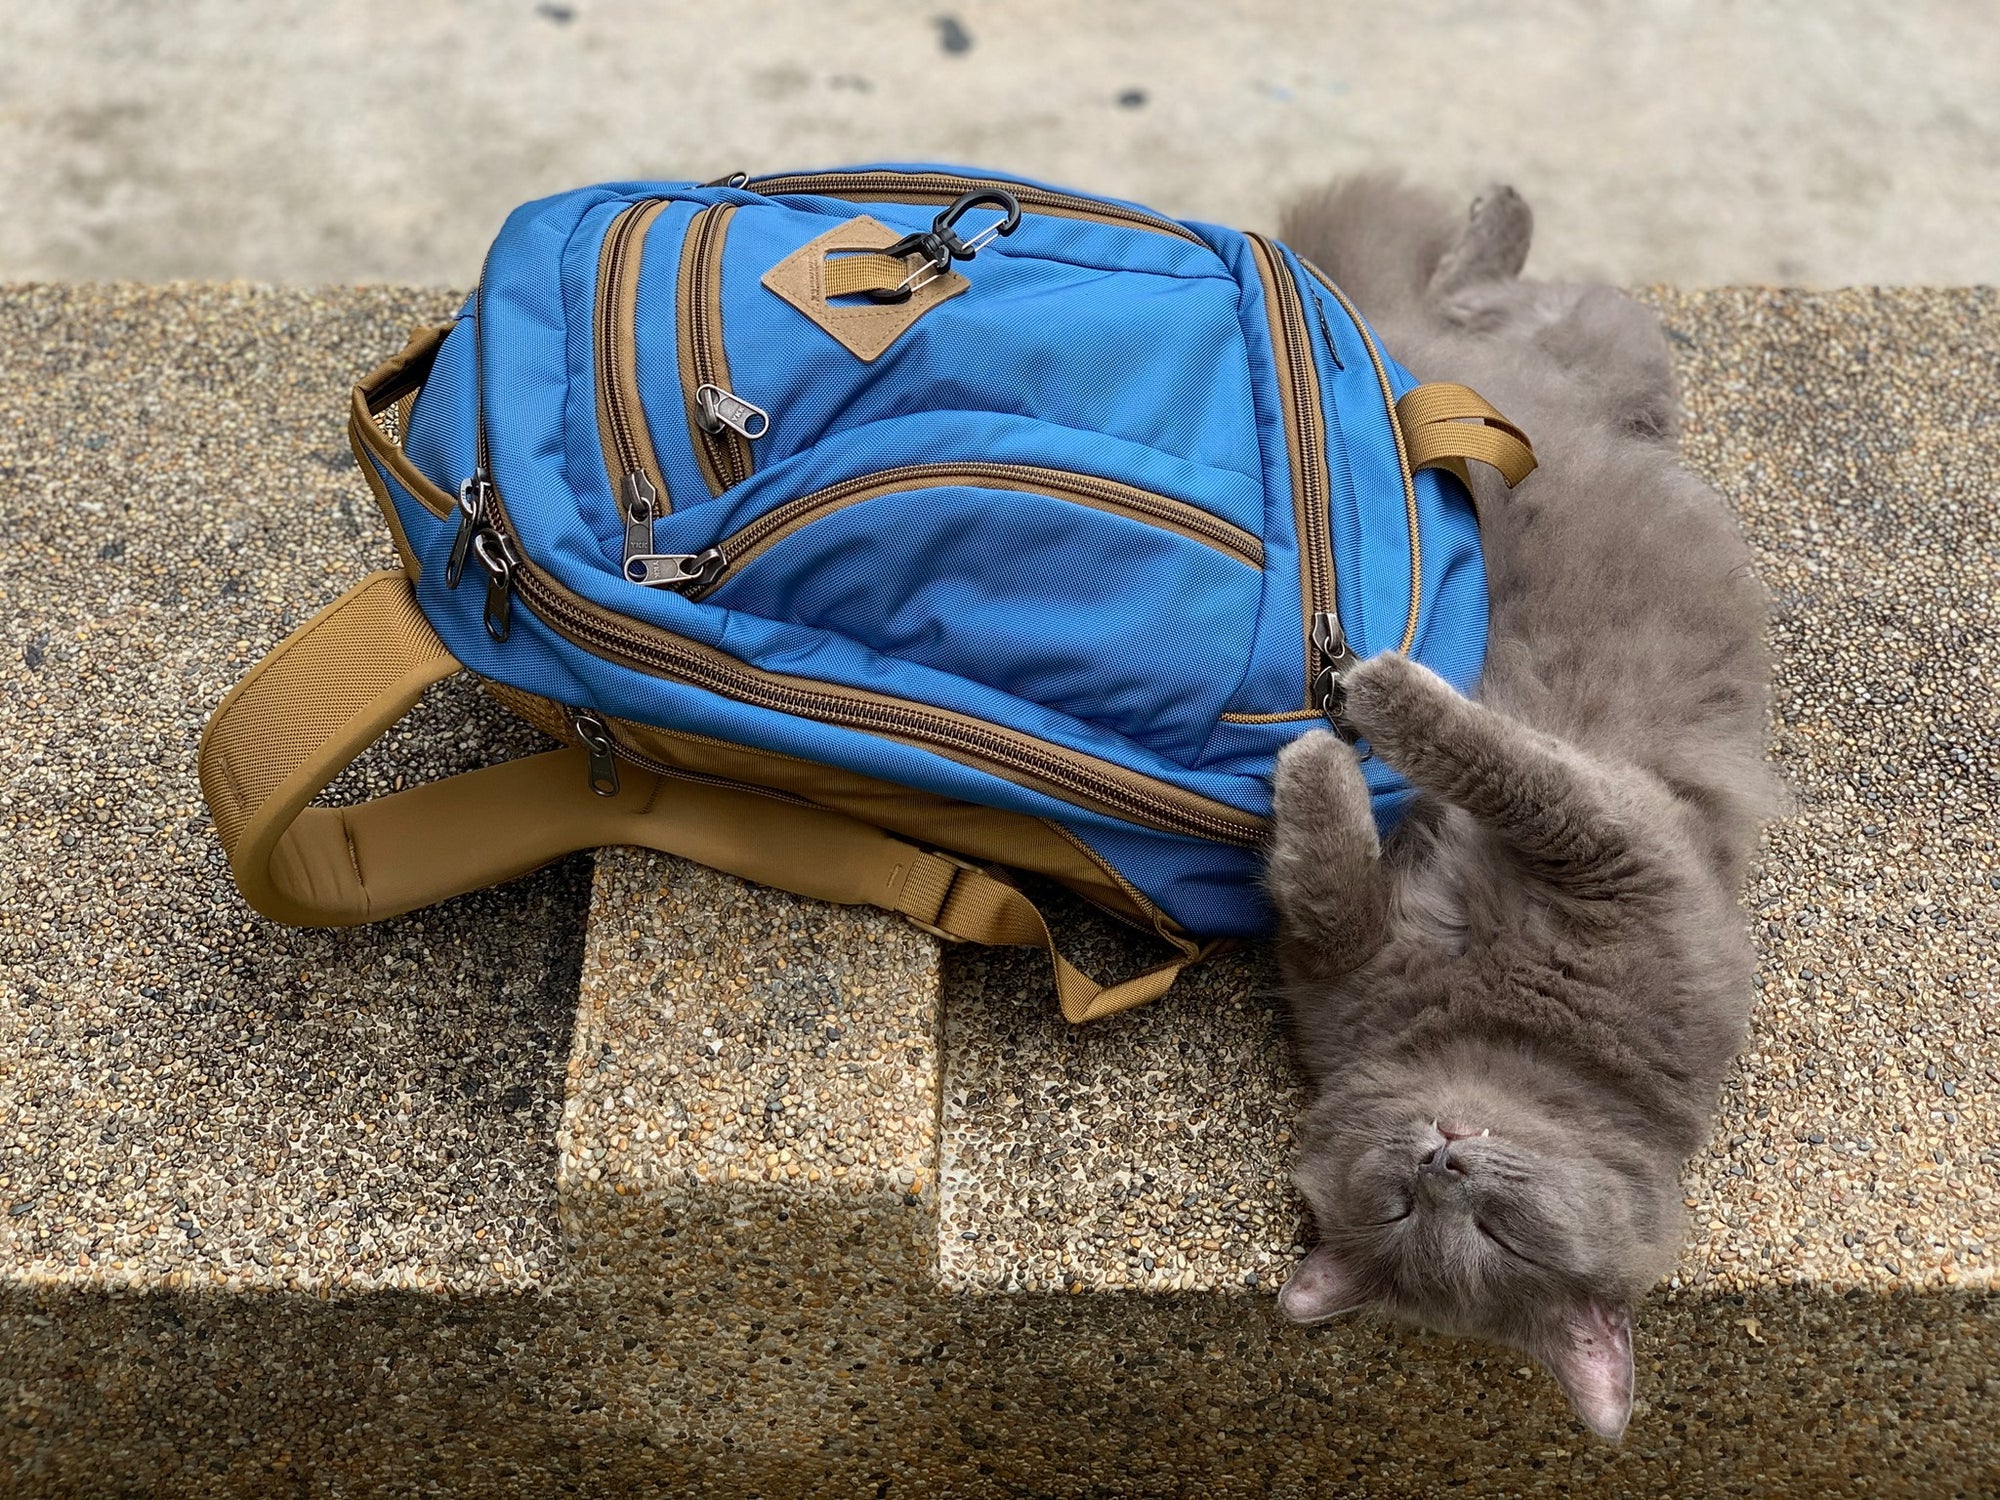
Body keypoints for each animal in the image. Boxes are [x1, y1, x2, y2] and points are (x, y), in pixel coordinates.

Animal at [1264, 176, 1784, 1448]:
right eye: (1402, 1207)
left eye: (1494, 1237)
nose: (1443, 1160)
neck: (1503, 1034)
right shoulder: (1600, 849)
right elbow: (1386, 852)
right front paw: (1343, 731)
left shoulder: (1615, 839)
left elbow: (1417, 817)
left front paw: (1348, 726)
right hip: (1569, 364)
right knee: (1477, 296)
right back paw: (1493, 215)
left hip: (1556, 359)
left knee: (1485, 304)